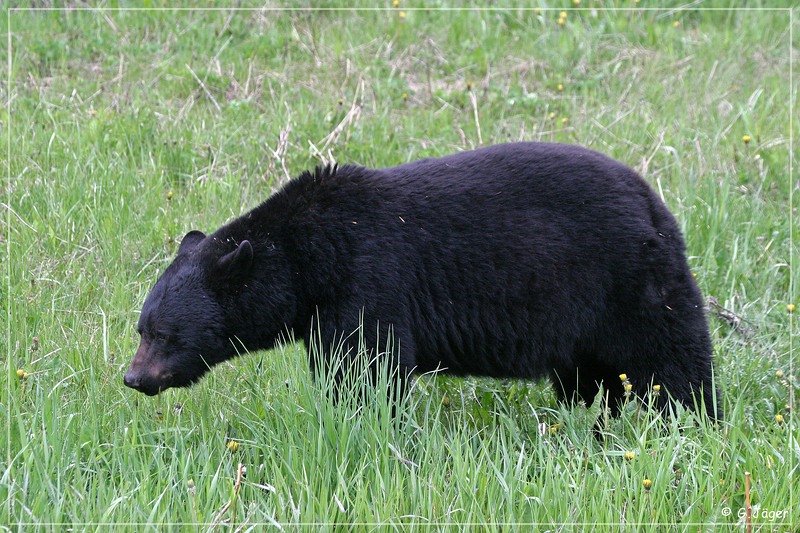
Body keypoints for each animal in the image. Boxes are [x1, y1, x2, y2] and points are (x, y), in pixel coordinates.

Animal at [125, 143, 720, 418]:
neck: (308, 256)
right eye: (142, 327)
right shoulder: (323, 310)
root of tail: (655, 204)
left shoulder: (367, 279)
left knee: (669, 355)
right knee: (591, 376)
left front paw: (364, 422)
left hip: (629, 279)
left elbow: (369, 366)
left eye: (164, 334)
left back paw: (691, 420)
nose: (133, 378)